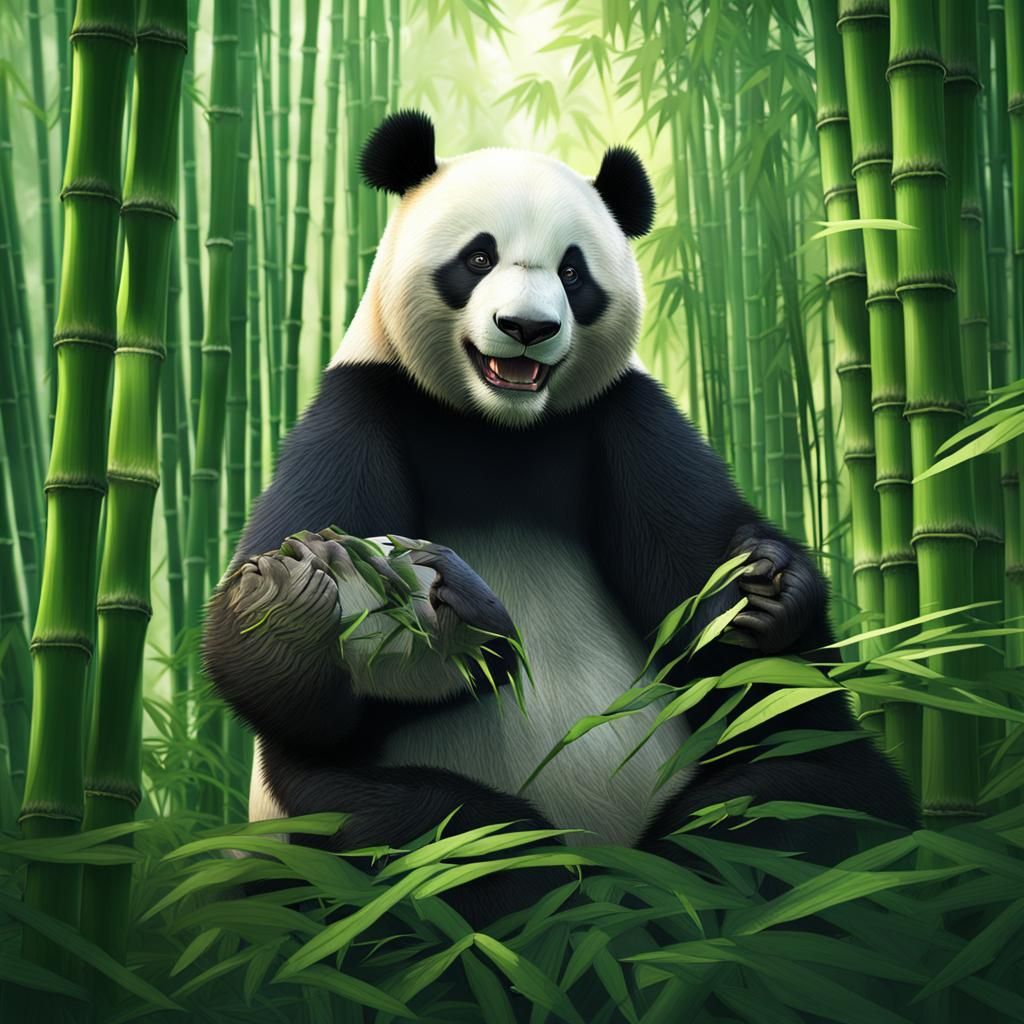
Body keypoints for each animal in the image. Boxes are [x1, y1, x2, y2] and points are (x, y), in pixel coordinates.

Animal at [203, 110, 917, 923]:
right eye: (478, 257)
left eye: (573, 273)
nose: (526, 327)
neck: (499, 427)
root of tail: (607, 854)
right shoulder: (360, 409)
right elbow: (283, 677)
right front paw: (298, 608)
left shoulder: (624, 420)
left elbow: (732, 647)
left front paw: (767, 588)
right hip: (312, 825)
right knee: (408, 840)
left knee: (812, 795)